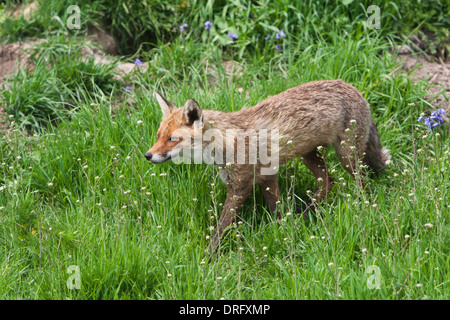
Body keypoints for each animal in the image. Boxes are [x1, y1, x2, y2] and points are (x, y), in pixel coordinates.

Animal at [146, 80, 388, 255]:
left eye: (172, 139)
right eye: (158, 136)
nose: (148, 155)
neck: (224, 142)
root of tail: (353, 88)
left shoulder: (241, 186)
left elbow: (222, 226)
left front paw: (208, 256)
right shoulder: (268, 176)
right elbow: (277, 211)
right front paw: (284, 231)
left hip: (347, 157)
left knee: (362, 183)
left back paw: (361, 208)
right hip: (309, 156)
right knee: (329, 182)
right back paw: (306, 212)